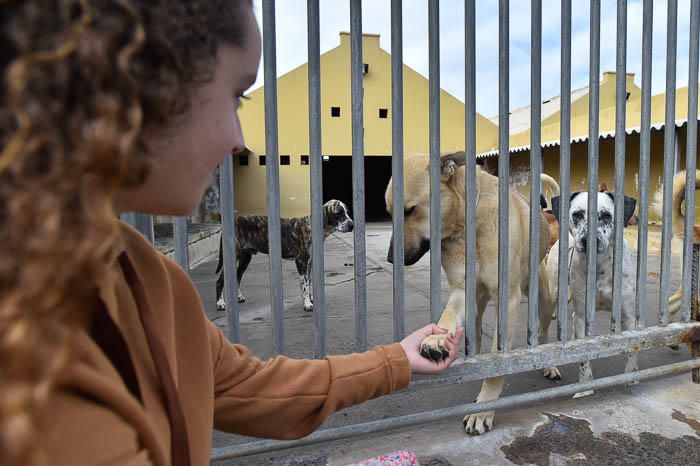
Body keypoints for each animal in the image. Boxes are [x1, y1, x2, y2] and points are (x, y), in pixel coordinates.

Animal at [382, 151, 556, 436]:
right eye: (390, 214)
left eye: (410, 210)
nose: (389, 259)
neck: (467, 225)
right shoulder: (463, 291)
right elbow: (447, 317)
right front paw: (436, 339)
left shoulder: (508, 300)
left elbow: (497, 364)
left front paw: (483, 410)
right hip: (478, 302)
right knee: (475, 328)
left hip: (543, 299)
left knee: (542, 332)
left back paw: (549, 363)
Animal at [548, 190, 640, 382]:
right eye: (577, 214)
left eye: (606, 215)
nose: (588, 240)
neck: (600, 267)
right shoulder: (583, 316)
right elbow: (584, 357)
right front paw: (585, 385)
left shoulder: (629, 316)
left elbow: (632, 351)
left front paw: (631, 376)